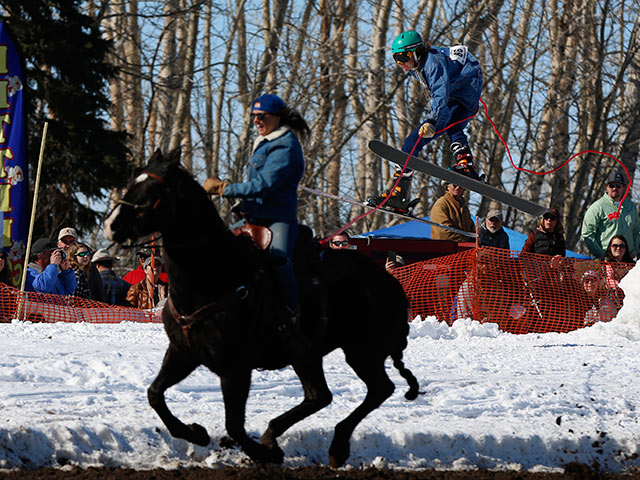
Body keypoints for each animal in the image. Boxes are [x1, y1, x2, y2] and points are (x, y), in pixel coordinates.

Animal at [104, 149, 420, 464]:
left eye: (154, 190)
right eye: (133, 181)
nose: (111, 225)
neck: (215, 277)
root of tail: (389, 282)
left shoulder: (235, 368)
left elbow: (234, 424)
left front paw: (261, 452)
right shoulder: (183, 352)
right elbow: (155, 394)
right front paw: (195, 432)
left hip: (359, 350)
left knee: (362, 390)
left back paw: (324, 444)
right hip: (321, 355)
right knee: (331, 394)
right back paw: (318, 441)